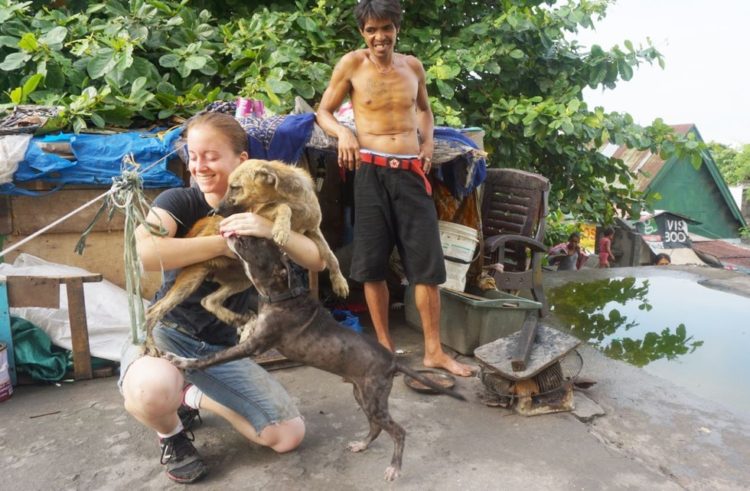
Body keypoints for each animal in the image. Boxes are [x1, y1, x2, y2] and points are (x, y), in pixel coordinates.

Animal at [143, 158, 350, 354]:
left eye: (235, 187)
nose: (213, 212)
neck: (293, 197)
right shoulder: (259, 214)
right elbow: (283, 207)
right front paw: (281, 229)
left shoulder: (313, 231)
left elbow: (330, 255)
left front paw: (339, 282)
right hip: (193, 277)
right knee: (153, 311)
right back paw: (150, 345)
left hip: (242, 280)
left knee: (208, 300)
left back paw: (234, 318)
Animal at [166, 236, 464, 482]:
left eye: (255, 242)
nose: (232, 231)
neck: (283, 295)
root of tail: (393, 361)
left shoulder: (255, 346)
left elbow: (214, 356)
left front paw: (182, 362)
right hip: (363, 396)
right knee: (376, 427)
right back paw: (362, 445)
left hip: (373, 398)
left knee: (398, 431)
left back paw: (394, 468)